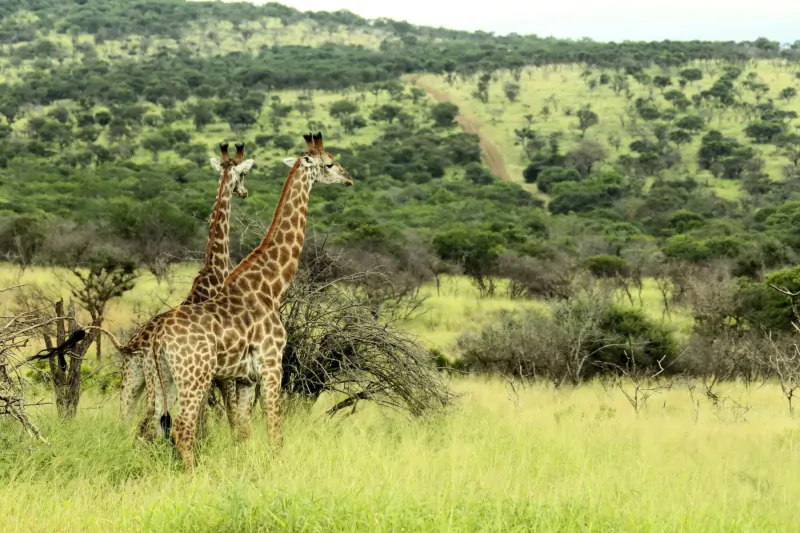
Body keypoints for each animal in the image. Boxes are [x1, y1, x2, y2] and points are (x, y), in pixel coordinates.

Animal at [117, 142, 253, 435]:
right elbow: (219, 414)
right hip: (155, 377)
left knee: (128, 417)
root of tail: (133, 343)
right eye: (244, 174)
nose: (245, 193)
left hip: (133, 376)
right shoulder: (218, 370)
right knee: (150, 419)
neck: (212, 275)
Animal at [149, 132, 353, 471]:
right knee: (183, 427)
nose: (349, 179)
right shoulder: (271, 365)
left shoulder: (244, 378)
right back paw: (192, 476)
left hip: (165, 378)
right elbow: (274, 431)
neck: (270, 286)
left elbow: (243, 431)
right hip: (195, 377)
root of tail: (158, 338)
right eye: (329, 163)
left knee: (153, 425)